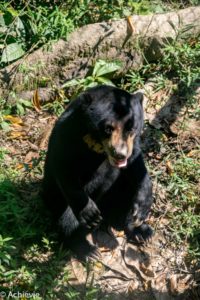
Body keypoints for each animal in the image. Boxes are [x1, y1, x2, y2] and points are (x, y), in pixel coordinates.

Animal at [42, 85, 153, 260]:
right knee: (67, 218)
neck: (98, 146)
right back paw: (88, 250)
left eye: (132, 127)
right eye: (108, 128)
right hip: (56, 198)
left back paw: (140, 231)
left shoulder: (132, 146)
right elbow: (64, 167)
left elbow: (136, 161)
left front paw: (142, 207)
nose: (120, 154)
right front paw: (90, 213)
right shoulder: (67, 134)